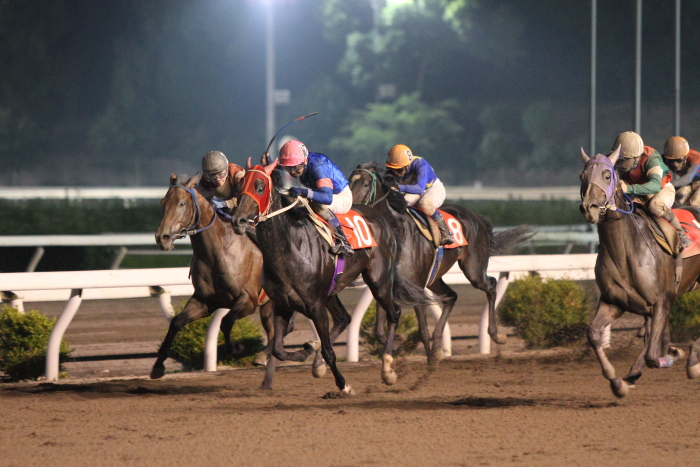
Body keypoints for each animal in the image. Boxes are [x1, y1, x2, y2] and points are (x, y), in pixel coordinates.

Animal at [154, 174, 278, 390]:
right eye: (163, 202)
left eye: (181, 203)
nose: (162, 238)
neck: (220, 251)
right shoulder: (205, 301)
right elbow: (176, 322)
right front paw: (158, 366)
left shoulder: (248, 300)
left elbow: (226, 322)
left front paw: (236, 348)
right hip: (268, 305)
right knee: (275, 330)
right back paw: (265, 360)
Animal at [348, 163, 532, 364]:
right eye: (348, 181)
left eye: (366, 184)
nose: (350, 209)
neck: (397, 233)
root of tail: (476, 217)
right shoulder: (388, 283)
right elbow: (379, 330)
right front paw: (400, 343)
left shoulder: (416, 286)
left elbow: (422, 330)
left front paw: (429, 361)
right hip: (435, 277)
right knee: (451, 296)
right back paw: (438, 345)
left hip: (473, 268)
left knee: (490, 285)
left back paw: (496, 335)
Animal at [584, 147, 700, 398]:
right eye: (582, 177)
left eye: (606, 175)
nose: (588, 208)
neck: (624, 251)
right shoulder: (614, 302)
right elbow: (593, 333)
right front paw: (617, 382)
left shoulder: (662, 302)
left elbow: (652, 356)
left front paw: (675, 354)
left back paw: (692, 360)